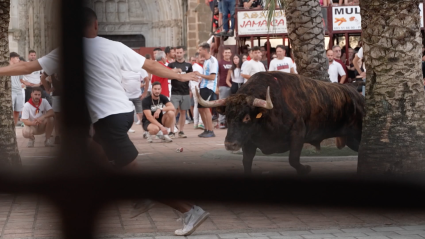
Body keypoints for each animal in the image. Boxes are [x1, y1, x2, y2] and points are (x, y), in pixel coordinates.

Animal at [195, 72, 364, 175]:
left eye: (247, 118)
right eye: (228, 117)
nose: (230, 145)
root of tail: (355, 94)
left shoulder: (298, 135)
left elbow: (293, 159)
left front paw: (306, 169)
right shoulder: (249, 142)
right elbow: (246, 162)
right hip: (350, 139)